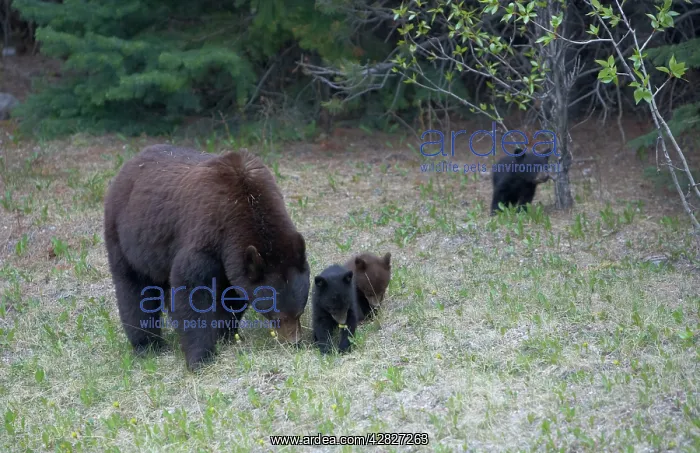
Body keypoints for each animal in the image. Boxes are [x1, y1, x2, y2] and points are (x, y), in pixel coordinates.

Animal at [103, 144, 310, 371]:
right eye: (277, 317)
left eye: (299, 312)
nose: (294, 342)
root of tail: (130, 162)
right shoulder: (206, 235)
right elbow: (192, 291)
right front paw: (201, 357)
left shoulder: (232, 260)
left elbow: (231, 295)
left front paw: (225, 333)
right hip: (125, 236)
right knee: (134, 288)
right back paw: (147, 344)